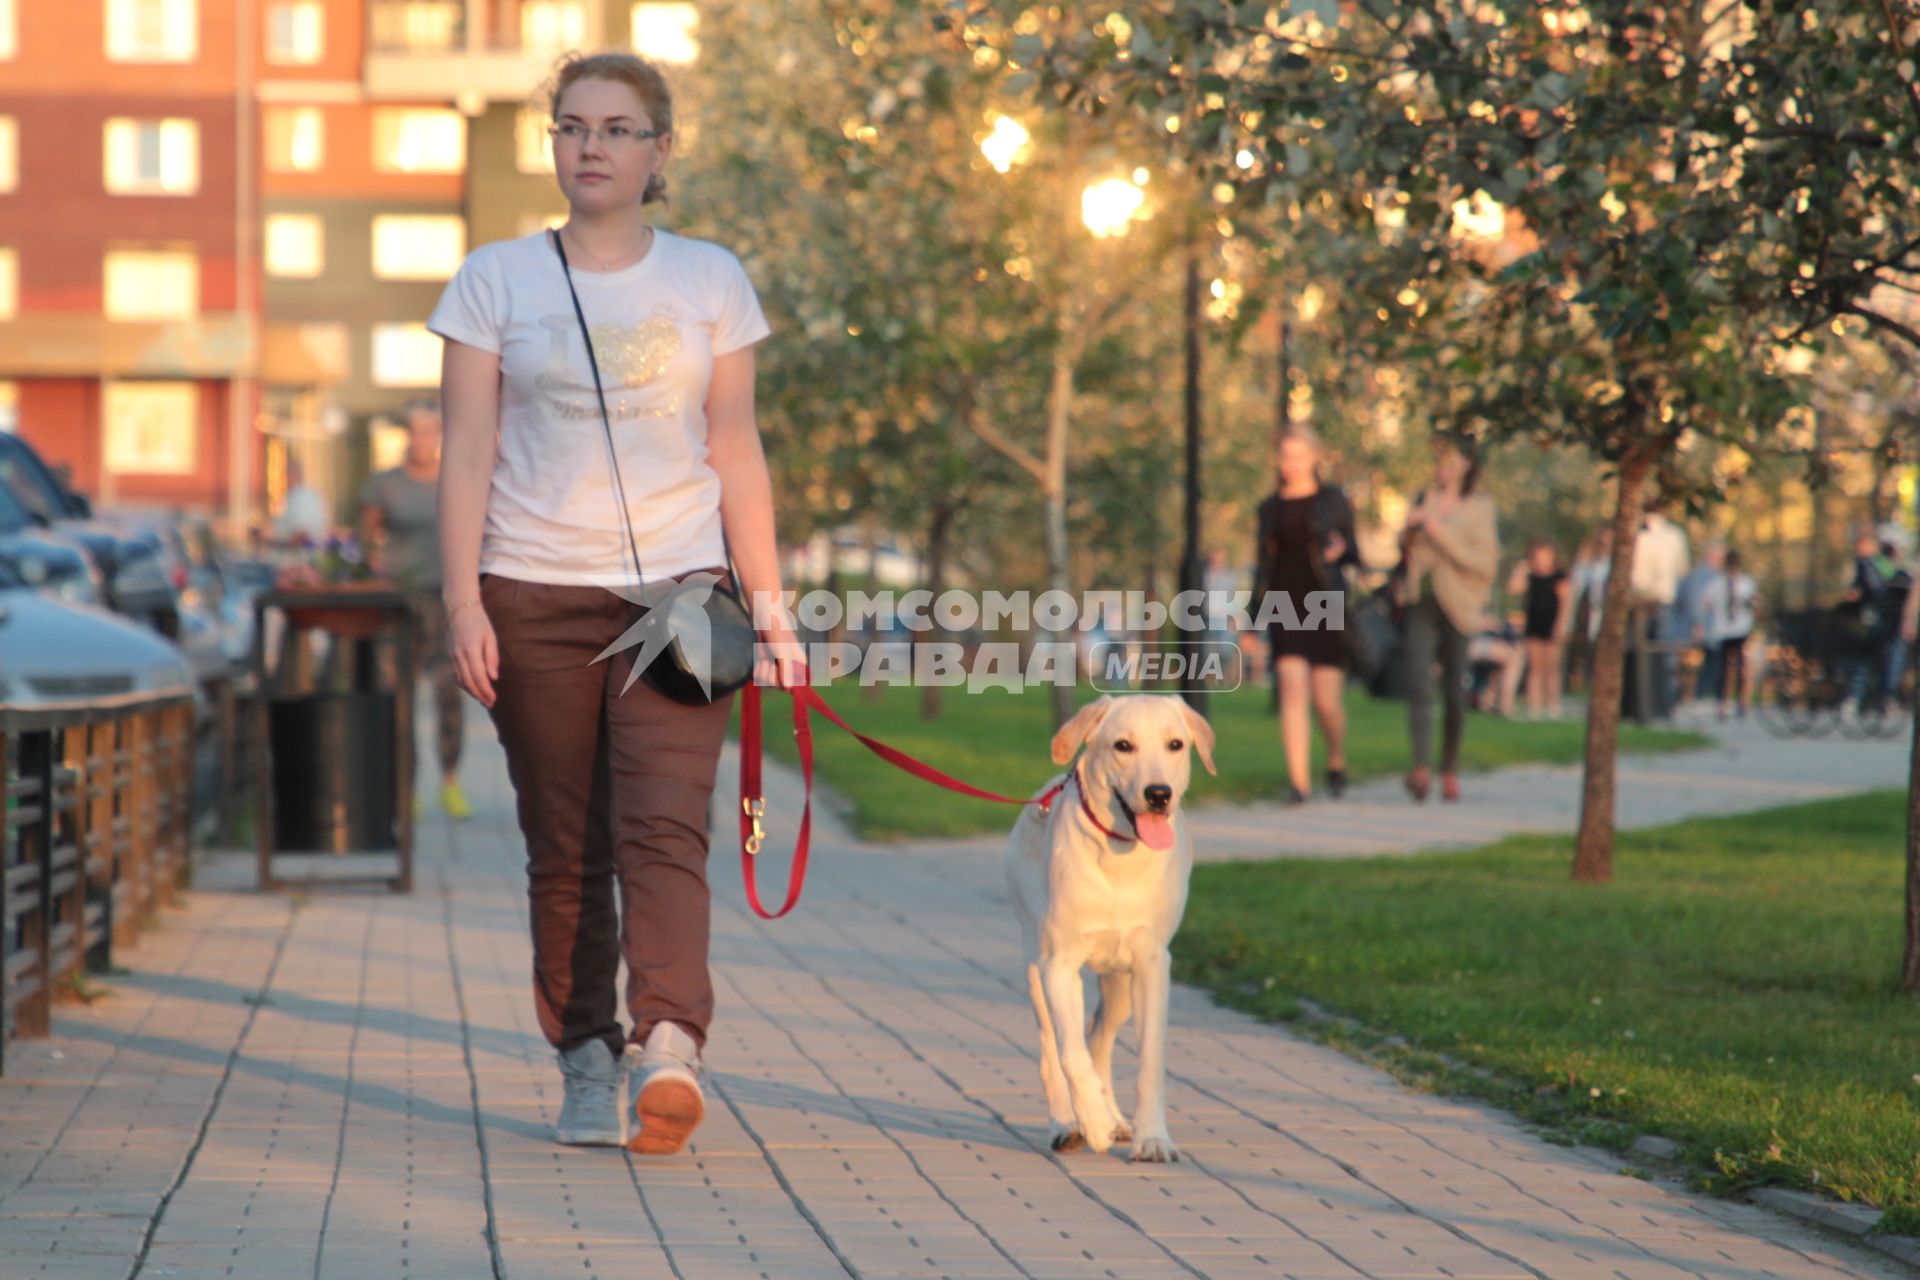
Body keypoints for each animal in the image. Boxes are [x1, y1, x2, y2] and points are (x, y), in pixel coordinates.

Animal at [1006, 694, 1213, 1166]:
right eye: (1122, 745)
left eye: (1175, 744)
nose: (1159, 793)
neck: (1121, 852)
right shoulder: (1058, 964)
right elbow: (1070, 1052)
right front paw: (1094, 1122)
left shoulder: (1153, 964)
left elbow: (1149, 1058)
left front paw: (1151, 1139)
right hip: (1032, 962)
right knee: (1054, 1048)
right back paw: (1069, 1124)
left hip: (1120, 984)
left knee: (1099, 1035)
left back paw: (1115, 1116)